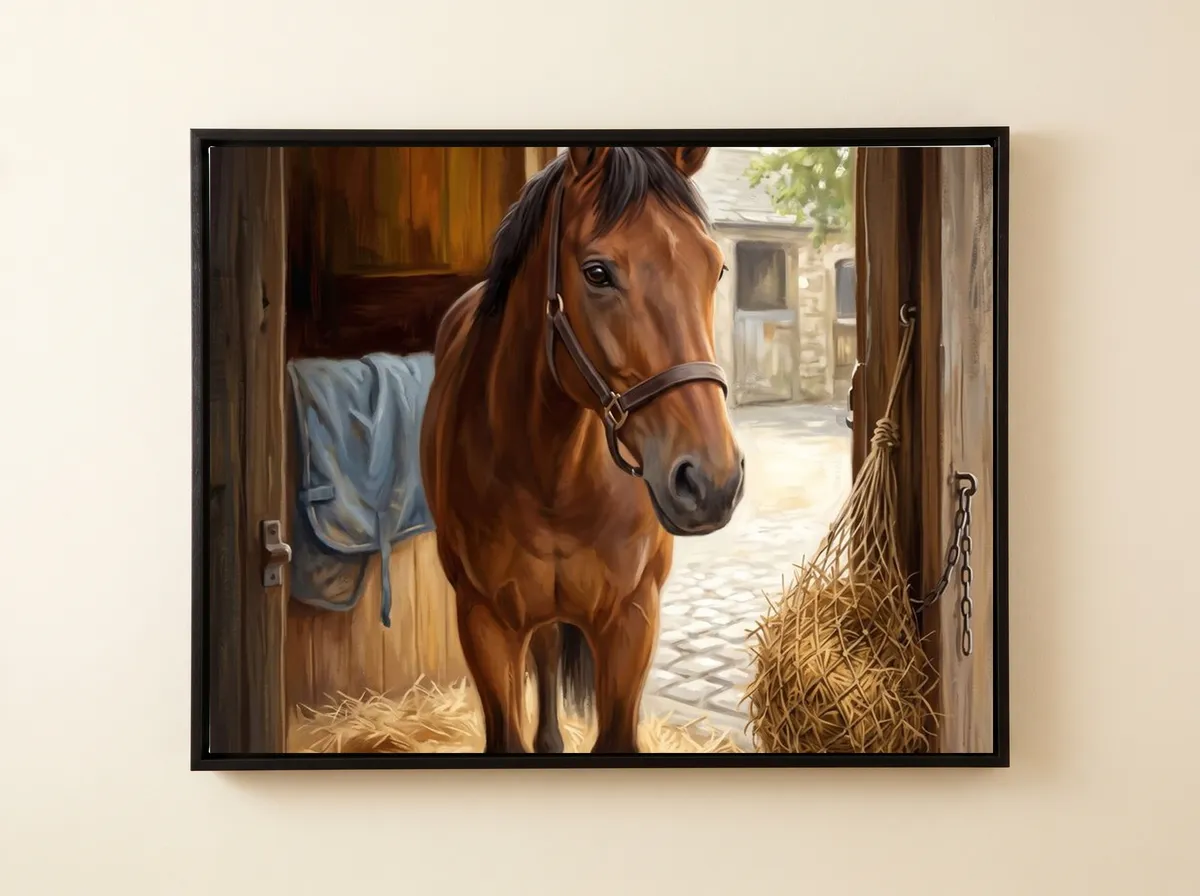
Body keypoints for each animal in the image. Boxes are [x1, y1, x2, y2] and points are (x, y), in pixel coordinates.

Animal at [419, 146, 745, 753]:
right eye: (597, 273)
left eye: (715, 267)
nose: (712, 482)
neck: (553, 473)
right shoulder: (483, 624)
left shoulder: (632, 619)